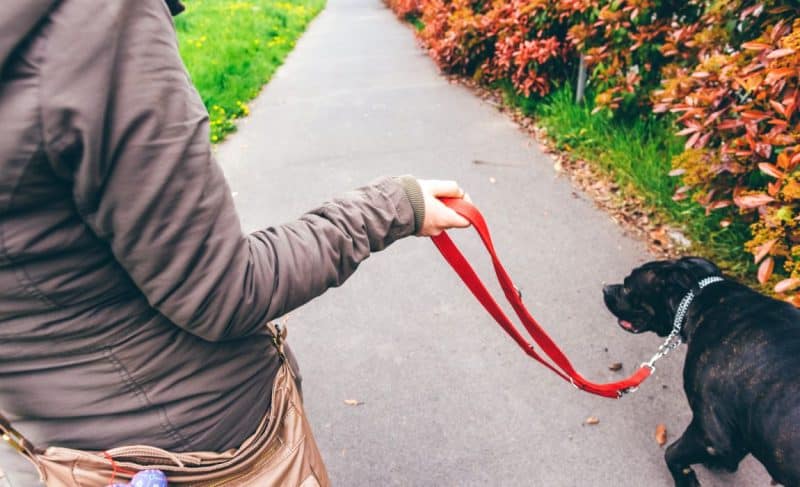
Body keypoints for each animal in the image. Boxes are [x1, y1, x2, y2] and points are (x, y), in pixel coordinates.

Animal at [604, 258, 796, 486]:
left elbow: (672, 453)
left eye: (627, 286)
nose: (606, 288)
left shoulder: (710, 434)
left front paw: (686, 478)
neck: (702, 299)